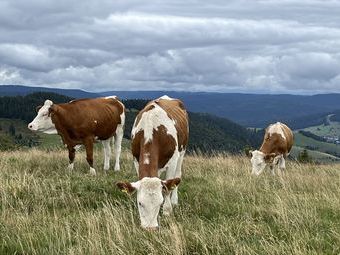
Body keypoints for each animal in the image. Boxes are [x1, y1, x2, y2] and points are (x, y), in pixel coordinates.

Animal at [117, 95, 189, 231]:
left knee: (178, 175)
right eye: (140, 203)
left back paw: (174, 201)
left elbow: (167, 189)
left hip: (182, 151)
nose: (150, 229)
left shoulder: (173, 160)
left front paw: (167, 211)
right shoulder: (136, 159)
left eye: (160, 203)